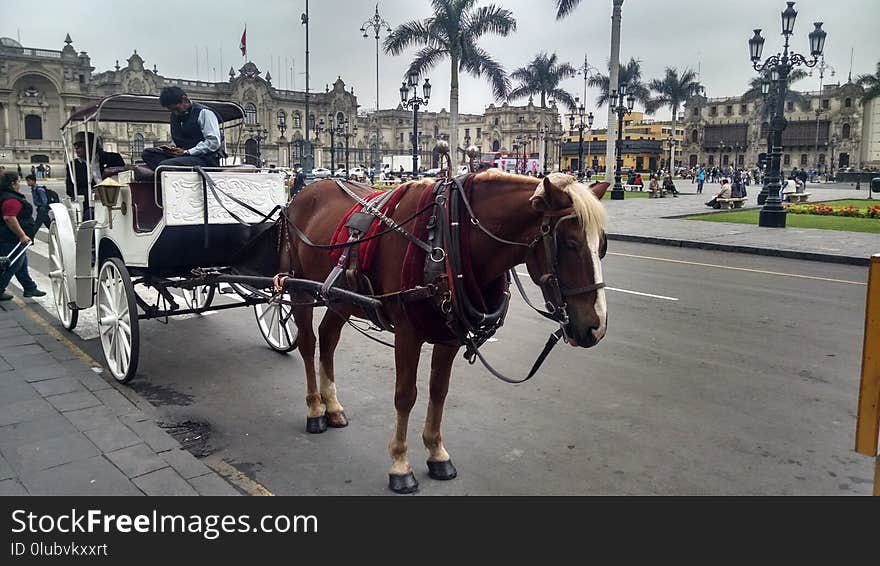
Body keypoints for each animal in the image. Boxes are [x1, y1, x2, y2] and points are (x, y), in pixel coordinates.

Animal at [278, 171, 608, 494]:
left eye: (602, 246)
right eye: (569, 244)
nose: (597, 327)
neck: (449, 242)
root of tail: (303, 193)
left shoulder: (449, 337)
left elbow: (439, 391)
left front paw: (437, 453)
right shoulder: (407, 334)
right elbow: (405, 395)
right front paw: (400, 465)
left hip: (341, 298)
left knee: (328, 338)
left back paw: (333, 407)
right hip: (298, 288)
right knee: (308, 343)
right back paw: (315, 410)